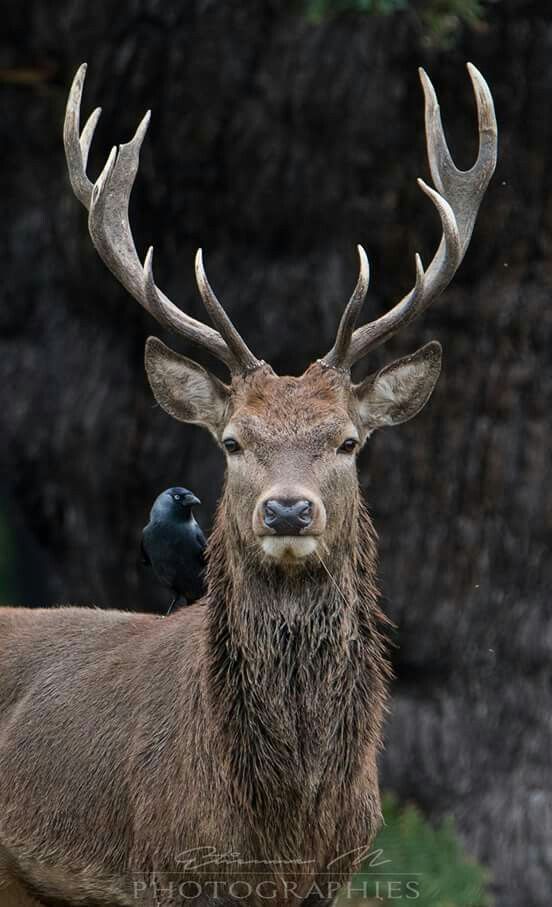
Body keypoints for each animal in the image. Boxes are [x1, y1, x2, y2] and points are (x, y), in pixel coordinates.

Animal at [0, 63, 496, 907]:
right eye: (233, 440)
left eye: (348, 440)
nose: (289, 510)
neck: (277, 828)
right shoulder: (164, 871)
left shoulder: (335, 873)